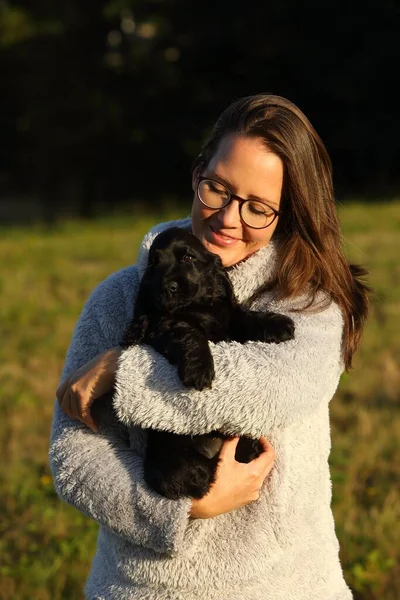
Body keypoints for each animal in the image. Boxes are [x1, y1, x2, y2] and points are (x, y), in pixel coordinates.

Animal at [120, 227, 296, 500]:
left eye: (188, 258)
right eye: (154, 264)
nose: (167, 287)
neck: (196, 306)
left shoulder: (227, 315)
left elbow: (244, 315)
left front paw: (278, 323)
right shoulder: (166, 324)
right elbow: (190, 333)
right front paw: (200, 371)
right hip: (168, 462)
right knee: (192, 480)